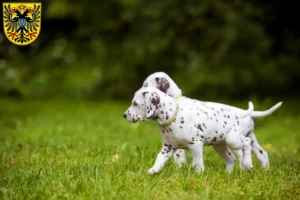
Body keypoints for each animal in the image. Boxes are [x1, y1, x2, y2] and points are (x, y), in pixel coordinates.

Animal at [123, 86, 254, 174]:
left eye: (135, 103)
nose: (124, 115)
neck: (172, 116)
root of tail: (239, 114)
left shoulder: (195, 145)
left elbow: (197, 162)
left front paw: (199, 173)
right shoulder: (168, 147)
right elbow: (159, 158)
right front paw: (154, 169)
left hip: (233, 140)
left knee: (247, 143)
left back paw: (248, 163)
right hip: (219, 145)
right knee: (231, 159)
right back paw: (228, 174)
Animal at [141, 71, 282, 170]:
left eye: (146, 84)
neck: (175, 100)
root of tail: (244, 113)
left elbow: (179, 157)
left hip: (235, 140)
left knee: (242, 155)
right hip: (250, 139)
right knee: (262, 154)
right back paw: (264, 171)